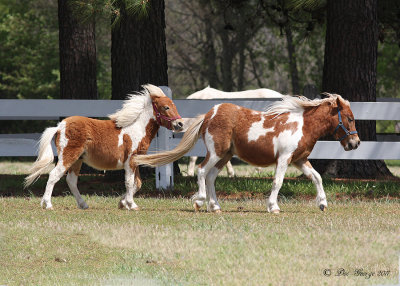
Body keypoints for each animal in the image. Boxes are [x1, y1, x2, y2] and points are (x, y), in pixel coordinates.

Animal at [25, 85, 185, 210]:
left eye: (174, 106)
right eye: (166, 107)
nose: (180, 124)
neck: (136, 128)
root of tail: (59, 126)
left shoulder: (136, 161)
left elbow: (137, 183)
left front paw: (122, 203)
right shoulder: (130, 161)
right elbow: (129, 182)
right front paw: (131, 205)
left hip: (78, 160)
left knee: (71, 180)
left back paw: (83, 204)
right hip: (68, 157)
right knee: (54, 175)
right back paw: (48, 204)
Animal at [134, 93, 360, 212]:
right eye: (349, 118)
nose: (355, 143)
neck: (302, 125)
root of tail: (209, 114)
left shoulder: (300, 160)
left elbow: (317, 177)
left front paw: (322, 203)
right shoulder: (284, 158)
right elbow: (278, 181)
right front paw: (273, 206)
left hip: (225, 156)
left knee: (211, 177)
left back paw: (215, 206)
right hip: (216, 153)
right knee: (201, 171)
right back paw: (200, 201)